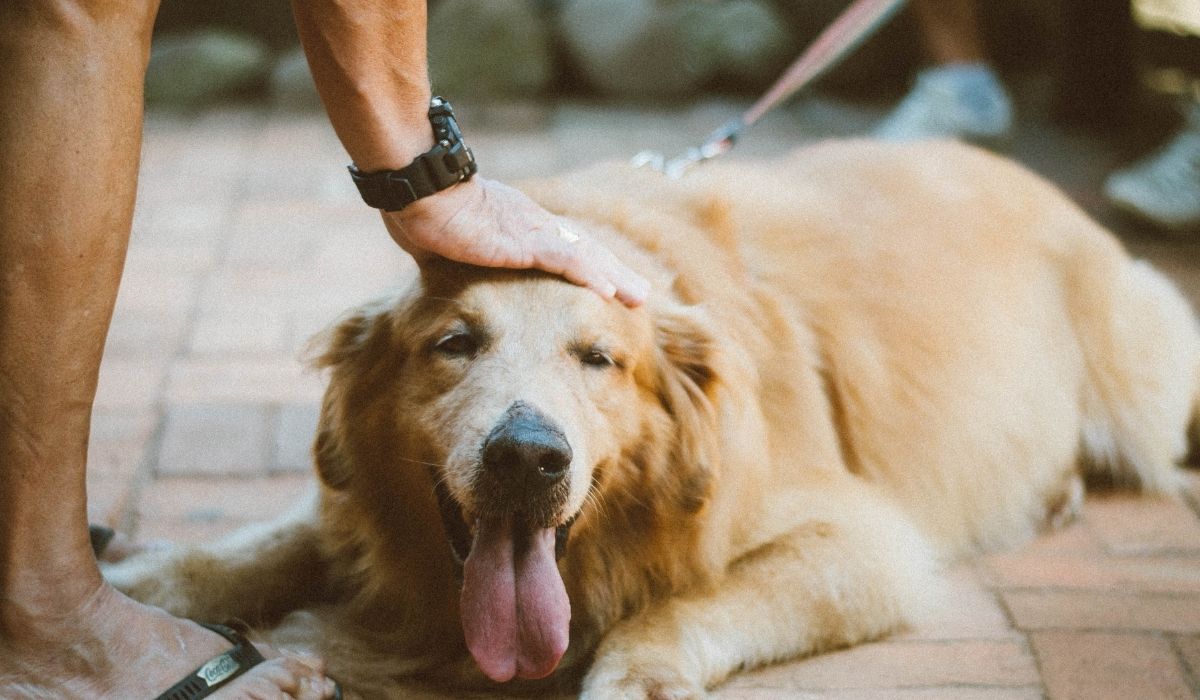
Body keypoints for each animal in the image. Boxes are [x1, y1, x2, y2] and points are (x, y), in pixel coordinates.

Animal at [105, 139, 1200, 696]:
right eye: (453, 343)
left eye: (601, 360)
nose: (526, 457)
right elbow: (269, 539)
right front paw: (142, 580)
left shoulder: (865, 540)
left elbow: (688, 601)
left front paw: (636, 668)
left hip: (1149, 380)